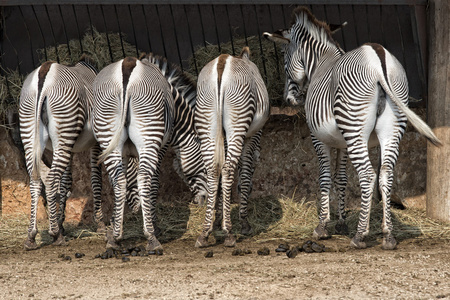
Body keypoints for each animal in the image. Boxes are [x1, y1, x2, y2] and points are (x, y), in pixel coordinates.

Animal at [18, 56, 98, 251]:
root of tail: (44, 73)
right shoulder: (94, 143)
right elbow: (94, 179)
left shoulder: (64, 147)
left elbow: (66, 183)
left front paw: (61, 222)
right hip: (64, 127)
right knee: (52, 178)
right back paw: (55, 234)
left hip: (31, 130)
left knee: (36, 180)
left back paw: (31, 237)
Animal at [94, 54, 208, 251]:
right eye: (205, 161)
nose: (204, 199)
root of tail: (128, 66)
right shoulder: (161, 146)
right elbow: (153, 183)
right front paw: (154, 225)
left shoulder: (125, 152)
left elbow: (121, 181)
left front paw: (116, 224)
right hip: (149, 134)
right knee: (144, 178)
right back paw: (152, 238)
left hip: (108, 134)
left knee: (118, 180)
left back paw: (115, 238)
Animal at [195, 47, 268, 248]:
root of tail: (222, 62)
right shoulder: (252, 136)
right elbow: (244, 176)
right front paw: (243, 222)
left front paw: (217, 217)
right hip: (238, 120)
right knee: (228, 170)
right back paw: (229, 232)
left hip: (207, 120)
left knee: (213, 169)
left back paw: (205, 233)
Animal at [264, 7, 440, 251]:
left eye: (283, 56)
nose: (289, 100)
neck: (320, 63)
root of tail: (378, 57)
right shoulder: (342, 143)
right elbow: (341, 178)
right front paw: (341, 222)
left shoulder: (320, 139)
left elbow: (325, 177)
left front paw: (323, 226)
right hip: (391, 127)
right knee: (386, 174)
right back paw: (388, 236)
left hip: (355, 128)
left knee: (367, 175)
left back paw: (360, 236)